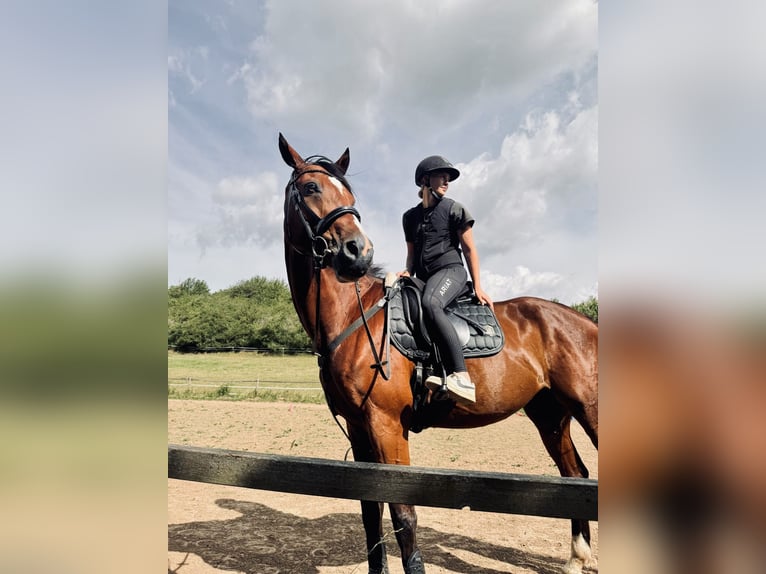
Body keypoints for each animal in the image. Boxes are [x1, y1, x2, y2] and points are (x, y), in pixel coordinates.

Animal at [278, 133, 599, 574]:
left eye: (349, 193)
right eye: (311, 187)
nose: (358, 251)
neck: (353, 316)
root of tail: (586, 322)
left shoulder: (386, 426)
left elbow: (403, 514)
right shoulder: (360, 429)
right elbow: (370, 511)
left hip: (589, 409)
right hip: (550, 413)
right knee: (575, 475)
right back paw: (577, 559)